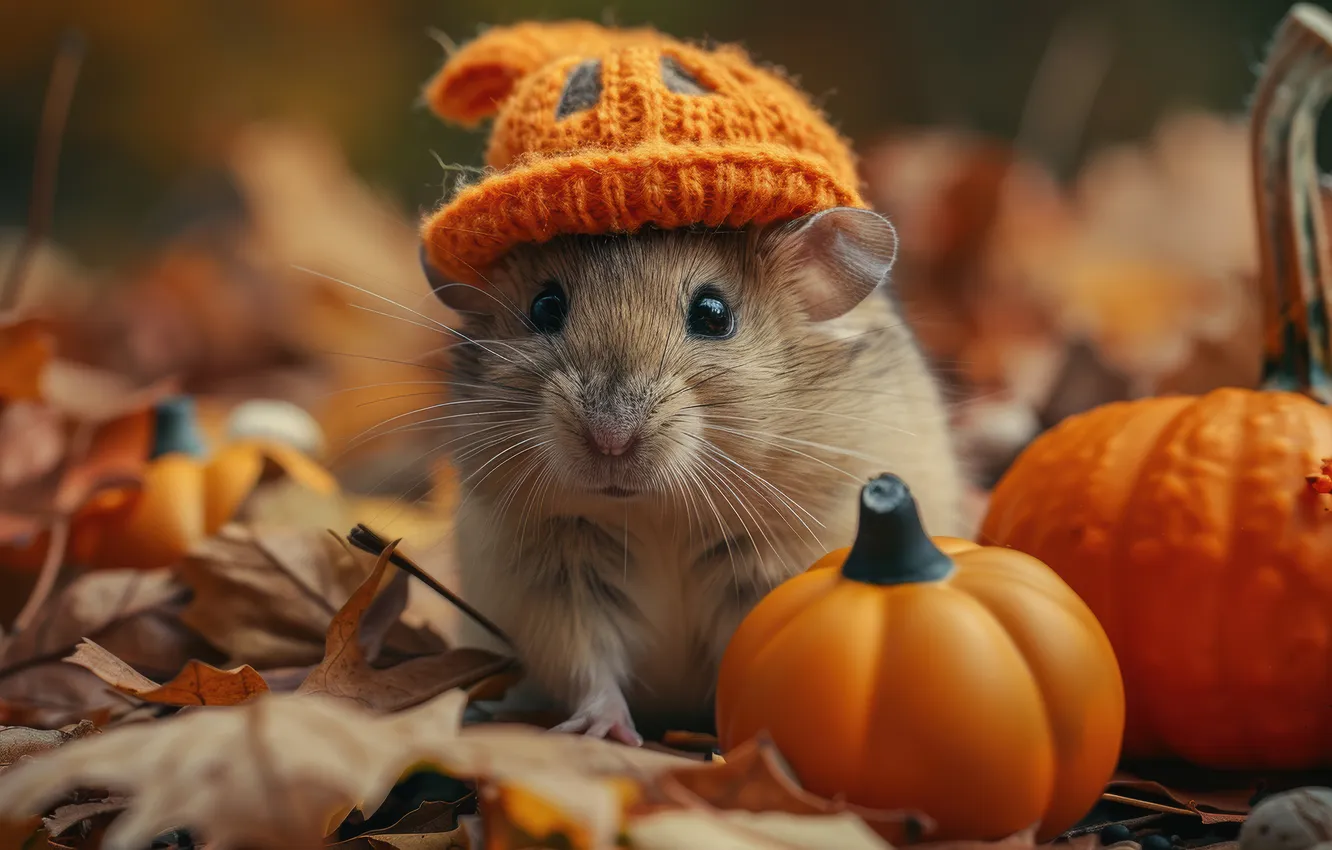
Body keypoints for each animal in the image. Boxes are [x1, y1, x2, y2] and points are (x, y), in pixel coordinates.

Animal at [422, 207, 965, 744]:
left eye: (713, 315)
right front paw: (604, 730)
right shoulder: (553, 583)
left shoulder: (769, 566)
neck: (655, 513)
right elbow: (587, 665)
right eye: (544, 308)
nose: (610, 440)